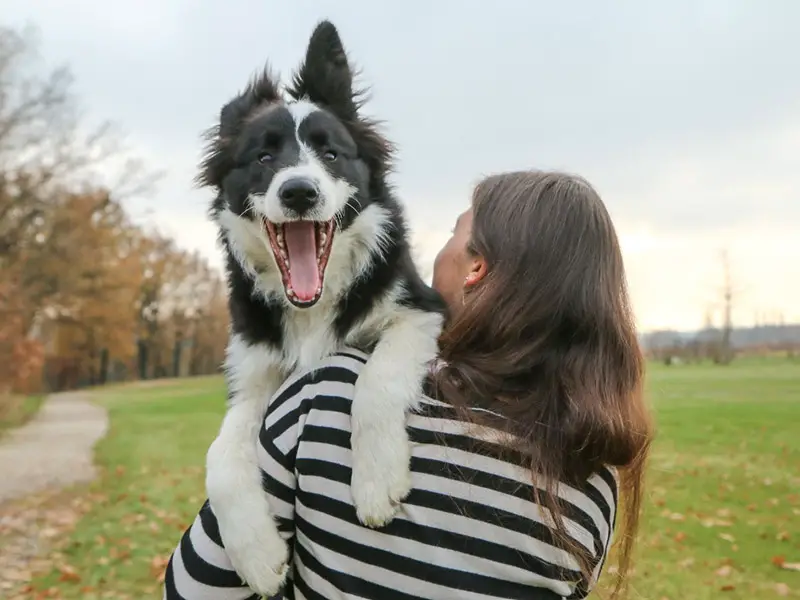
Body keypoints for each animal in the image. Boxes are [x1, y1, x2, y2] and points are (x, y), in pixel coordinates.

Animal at [200, 18, 446, 596]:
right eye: (263, 157)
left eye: (331, 153)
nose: (299, 192)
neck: (311, 305)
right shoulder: (256, 373)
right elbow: (218, 453)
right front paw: (258, 555)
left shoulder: (421, 310)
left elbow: (378, 379)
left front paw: (377, 480)